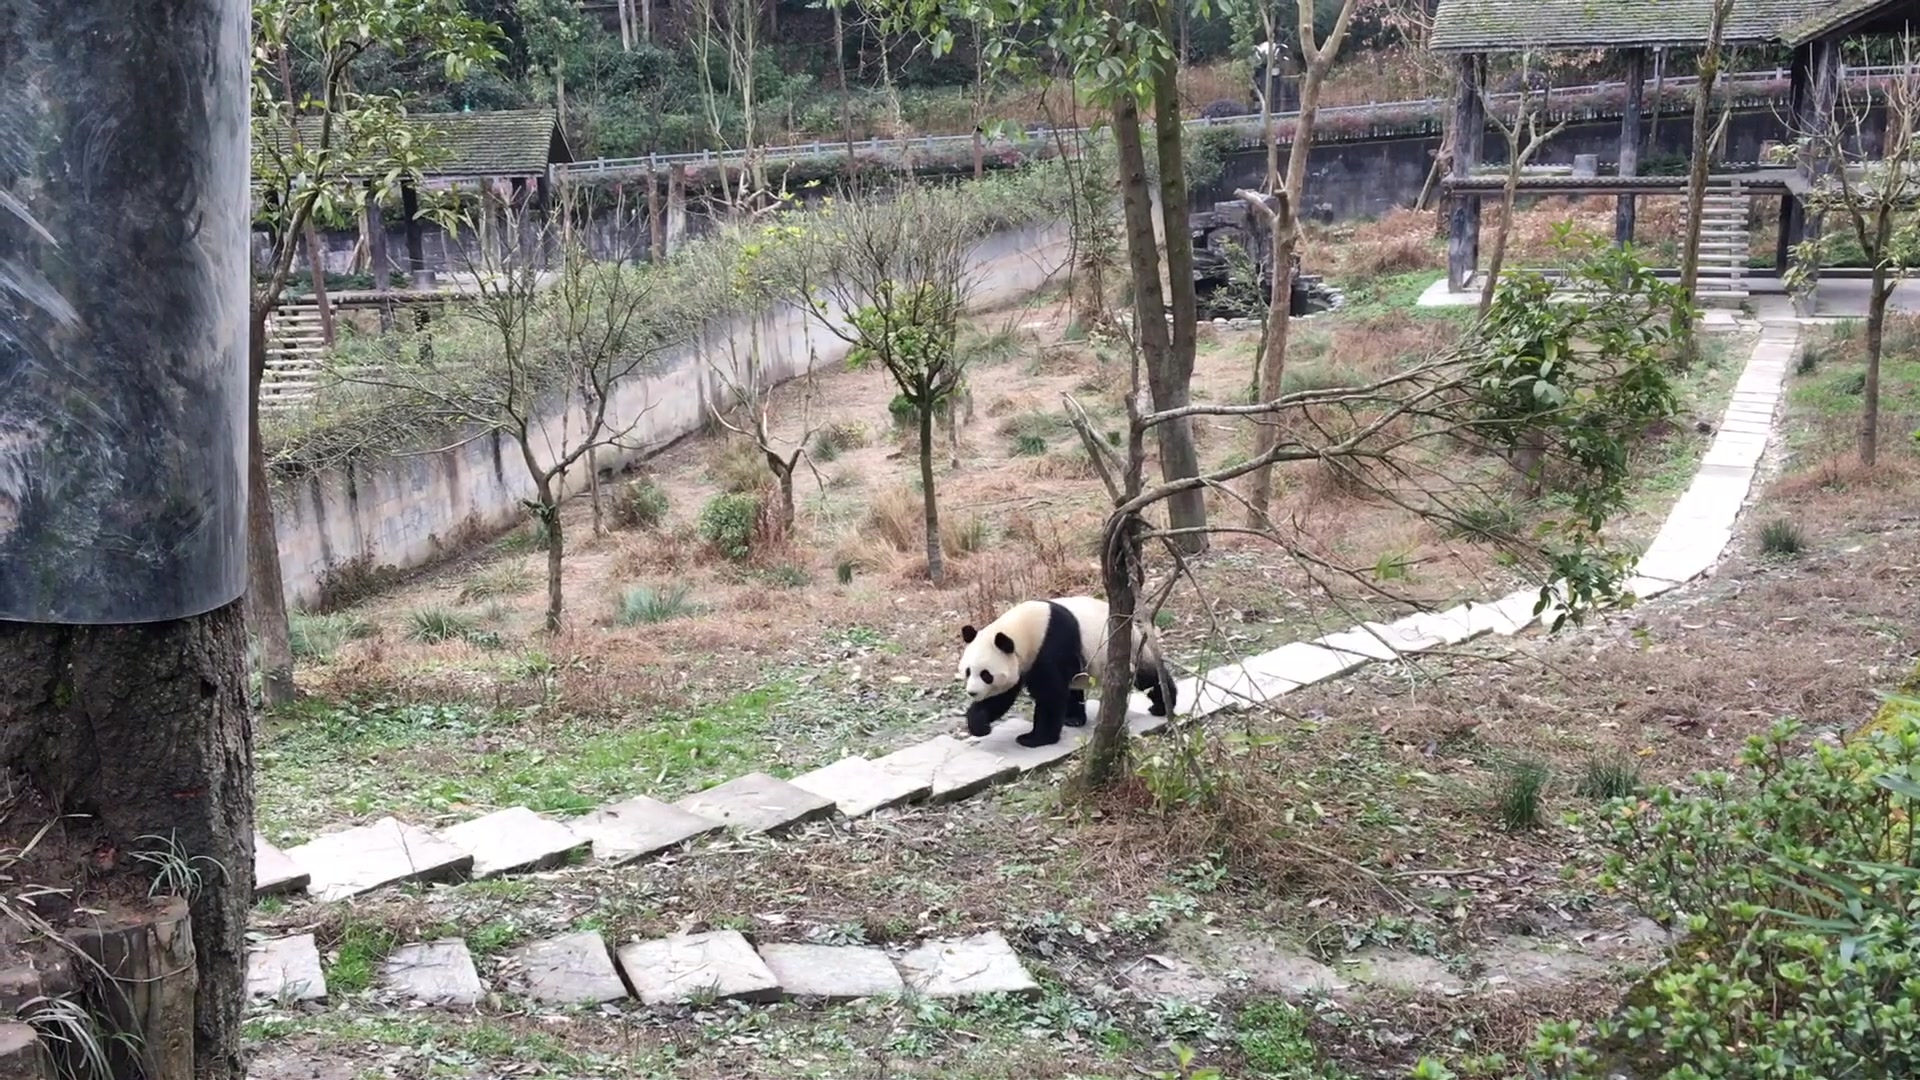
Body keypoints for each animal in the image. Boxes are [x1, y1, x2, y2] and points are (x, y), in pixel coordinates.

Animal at [956, 591, 1167, 745]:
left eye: (986, 675)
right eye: (968, 671)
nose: (972, 692)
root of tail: (1132, 625)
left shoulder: (1051, 643)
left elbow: (1050, 693)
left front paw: (1034, 738)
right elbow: (1001, 697)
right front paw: (980, 726)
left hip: (1128, 651)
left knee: (1148, 677)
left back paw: (1161, 706)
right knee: (1073, 687)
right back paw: (1073, 719)